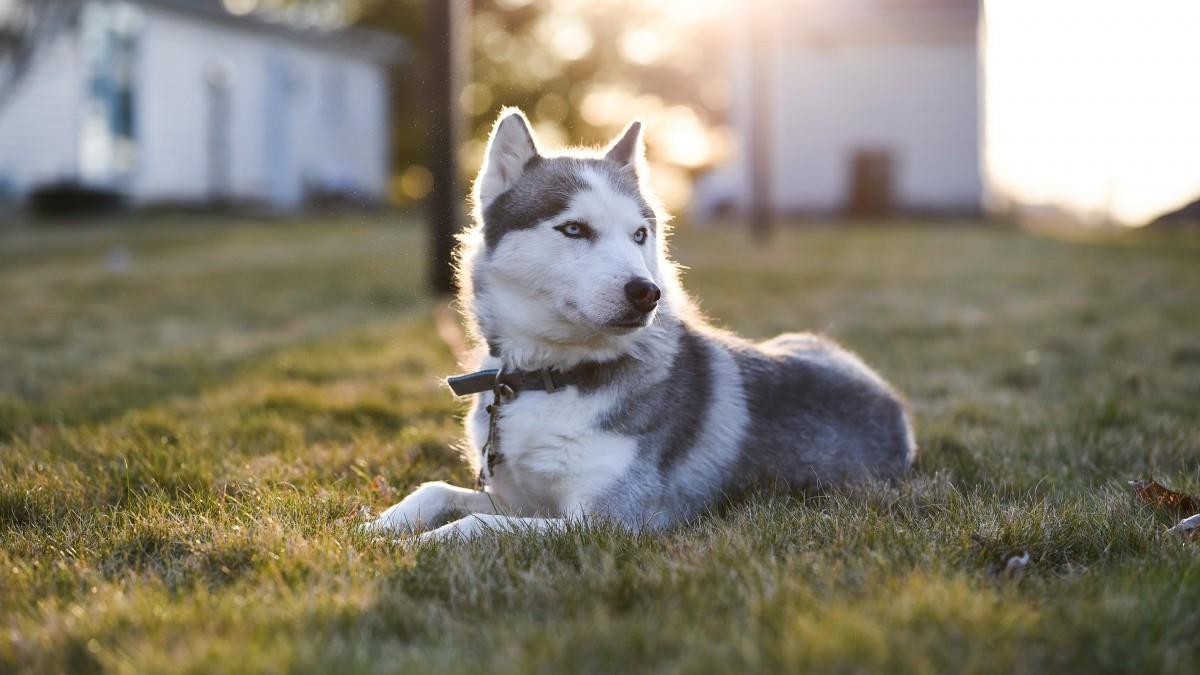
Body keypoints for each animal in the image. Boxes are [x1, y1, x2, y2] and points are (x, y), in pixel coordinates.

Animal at [360, 110, 912, 540]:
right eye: (574, 229)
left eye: (640, 234)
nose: (647, 292)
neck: (551, 377)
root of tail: (894, 405)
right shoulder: (520, 498)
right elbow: (434, 490)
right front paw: (375, 527)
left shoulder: (610, 521)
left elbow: (478, 525)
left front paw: (420, 544)